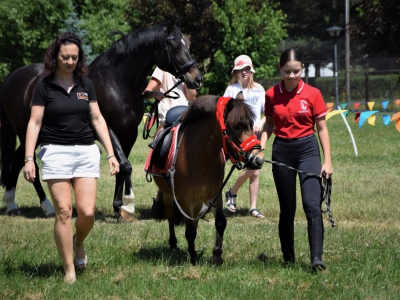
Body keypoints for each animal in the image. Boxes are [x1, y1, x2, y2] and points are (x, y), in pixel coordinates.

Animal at [0, 19, 203, 219]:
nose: (197, 79)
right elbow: (125, 165)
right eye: (174, 45)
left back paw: (12, 205)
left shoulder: (129, 134)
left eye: (187, 44)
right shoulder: (108, 128)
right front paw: (129, 206)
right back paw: (47, 207)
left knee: (17, 160)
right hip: (27, 131)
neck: (117, 82)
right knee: (29, 163)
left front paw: (119, 207)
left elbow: (121, 168)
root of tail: (12, 78)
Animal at [152, 94, 264, 264]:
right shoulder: (186, 199)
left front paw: (216, 256)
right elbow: (190, 230)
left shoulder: (214, 196)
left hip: (197, 201)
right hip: (168, 194)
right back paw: (173, 243)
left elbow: (219, 222)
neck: (201, 157)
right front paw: (193, 257)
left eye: (251, 125)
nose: (258, 159)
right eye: (236, 126)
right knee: (171, 216)